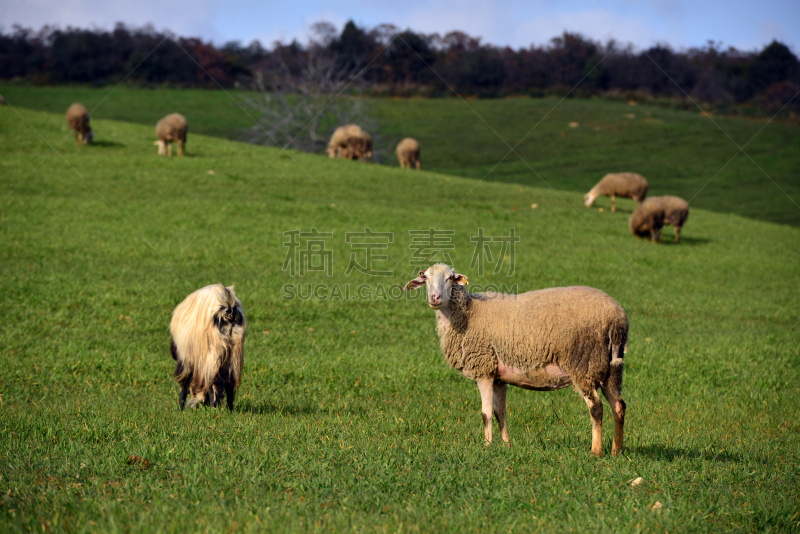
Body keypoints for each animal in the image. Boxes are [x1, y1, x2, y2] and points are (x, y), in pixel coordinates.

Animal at [404, 266, 628, 458]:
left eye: (450, 278)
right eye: (425, 277)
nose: (435, 298)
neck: (467, 314)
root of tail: (617, 319)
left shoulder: (483, 370)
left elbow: (486, 414)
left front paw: (487, 448)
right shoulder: (498, 377)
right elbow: (499, 413)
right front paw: (507, 446)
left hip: (583, 363)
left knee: (596, 408)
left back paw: (595, 452)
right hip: (609, 367)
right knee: (619, 405)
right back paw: (616, 451)